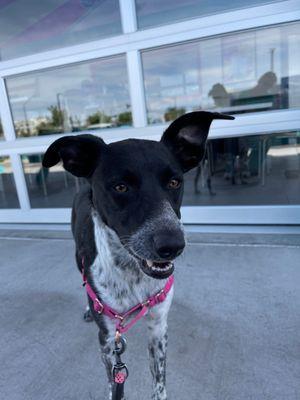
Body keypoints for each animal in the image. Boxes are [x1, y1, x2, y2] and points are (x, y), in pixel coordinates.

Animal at [42, 111, 234, 400]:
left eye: (175, 182)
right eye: (120, 187)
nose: (172, 245)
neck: (132, 275)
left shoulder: (158, 328)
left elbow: (159, 381)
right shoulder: (107, 339)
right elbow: (114, 383)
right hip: (78, 257)